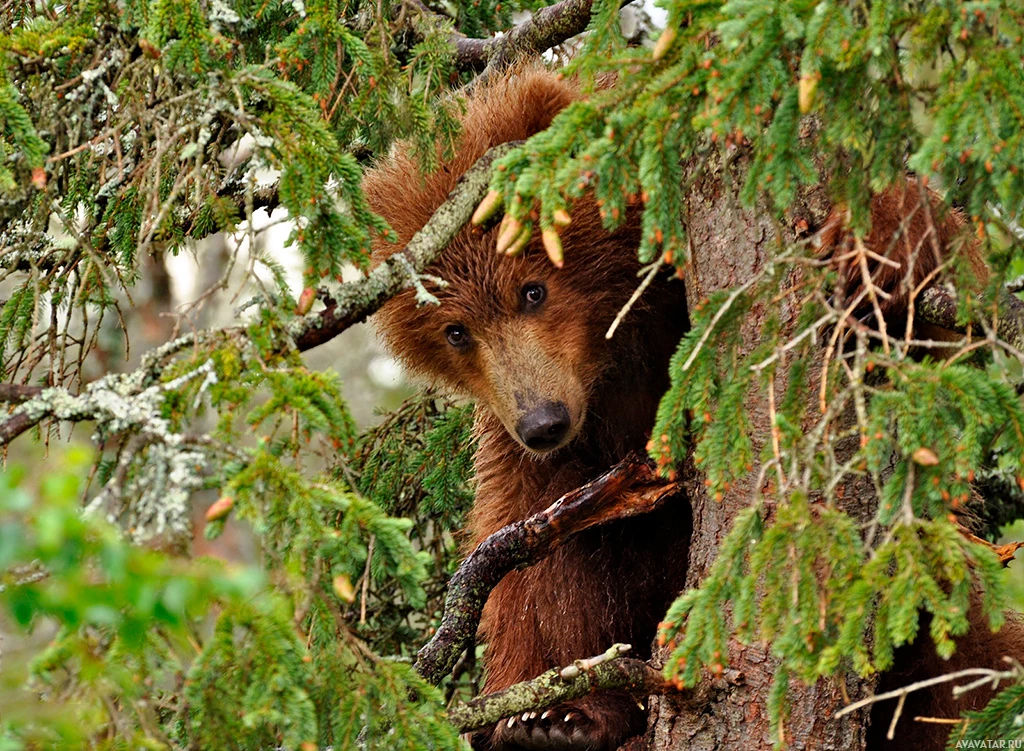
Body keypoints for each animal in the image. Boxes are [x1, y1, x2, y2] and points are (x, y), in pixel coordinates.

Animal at [366, 67, 1024, 745]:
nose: (543, 422)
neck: (617, 348)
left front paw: (870, 240)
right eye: (455, 331)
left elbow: (931, 310)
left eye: (532, 289)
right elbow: (534, 563)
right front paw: (543, 710)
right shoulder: (547, 449)